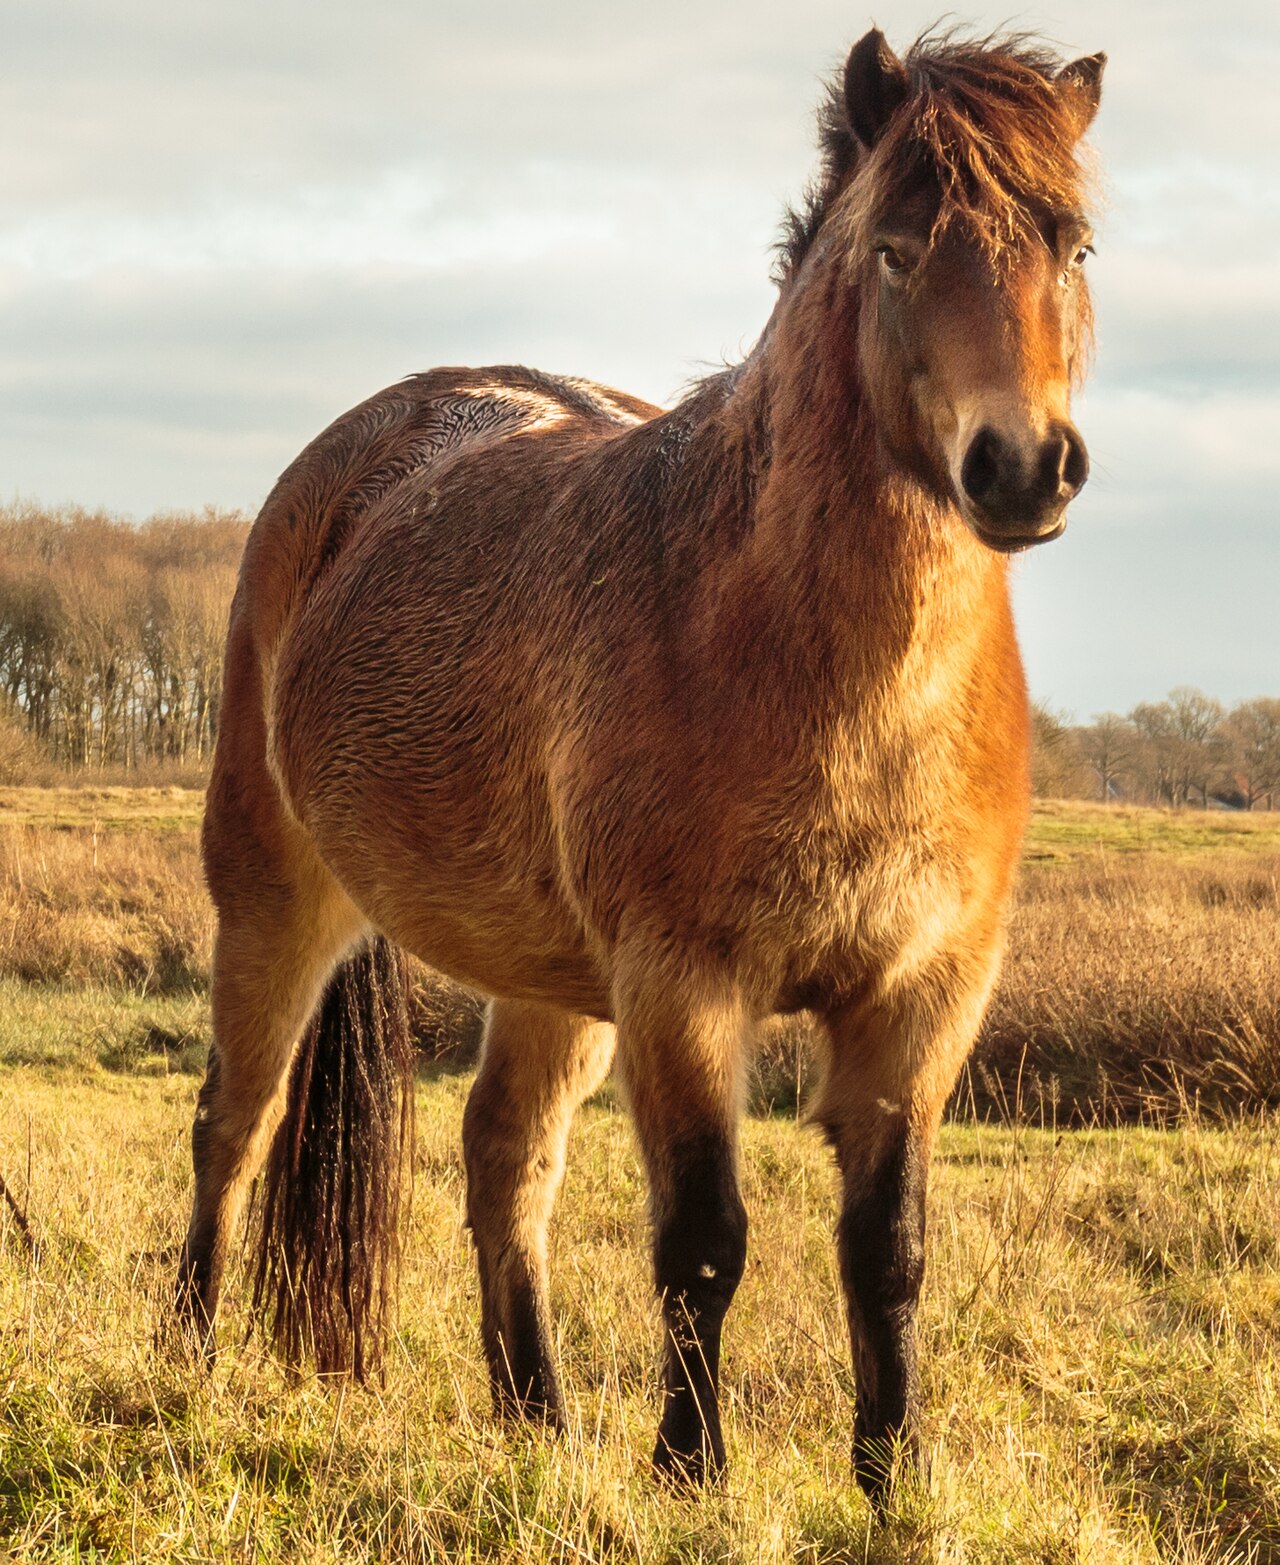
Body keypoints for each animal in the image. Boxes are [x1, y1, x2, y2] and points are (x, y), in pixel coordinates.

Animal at [177, 27, 1104, 1499]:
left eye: (1071, 243)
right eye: (896, 248)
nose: (1020, 466)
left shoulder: (924, 998)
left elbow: (888, 1247)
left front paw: (893, 1477)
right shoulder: (683, 986)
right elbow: (706, 1239)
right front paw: (691, 1471)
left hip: (551, 981)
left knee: (504, 1158)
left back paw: (538, 1418)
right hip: (276, 896)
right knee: (237, 1121)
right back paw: (188, 1360)